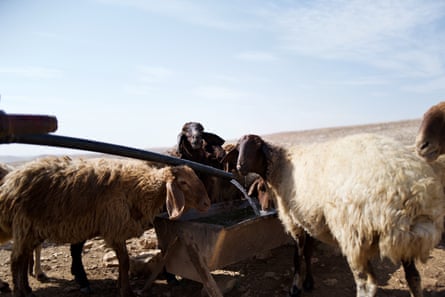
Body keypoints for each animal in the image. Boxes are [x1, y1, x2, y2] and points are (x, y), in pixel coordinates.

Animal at [0, 155, 210, 296]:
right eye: (183, 182)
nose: (207, 203)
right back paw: (19, 292)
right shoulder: (114, 228)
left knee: (23, 258)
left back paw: (27, 289)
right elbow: (124, 261)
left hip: (31, 230)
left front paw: (119, 285)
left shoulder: (116, 229)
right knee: (15, 260)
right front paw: (126, 291)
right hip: (24, 225)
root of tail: (9, 183)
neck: (139, 189)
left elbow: (122, 261)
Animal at [232, 132, 444, 296]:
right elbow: (308, 253)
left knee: (366, 284)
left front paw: (295, 288)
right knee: (413, 277)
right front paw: (308, 283)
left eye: (255, 146)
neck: (280, 166)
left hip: (354, 233)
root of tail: (412, 192)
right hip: (403, 240)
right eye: (238, 147)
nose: (240, 166)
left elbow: (297, 257)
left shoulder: (295, 222)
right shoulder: (309, 219)